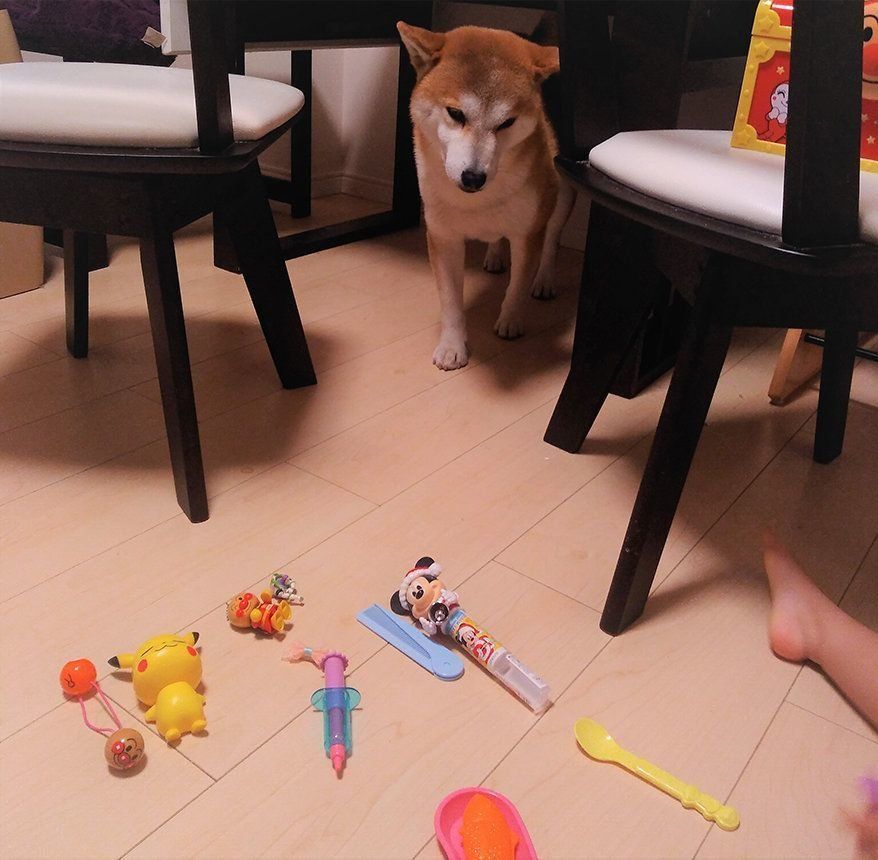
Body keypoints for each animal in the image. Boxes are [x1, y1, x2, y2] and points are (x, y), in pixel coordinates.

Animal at [397, 21, 574, 370]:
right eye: (455, 113)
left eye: (507, 122)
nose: (473, 177)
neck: (476, 202)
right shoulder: (443, 236)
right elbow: (451, 302)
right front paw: (452, 347)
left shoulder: (526, 232)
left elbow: (518, 283)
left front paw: (510, 321)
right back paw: (494, 256)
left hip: (560, 195)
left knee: (552, 238)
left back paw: (544, 280)